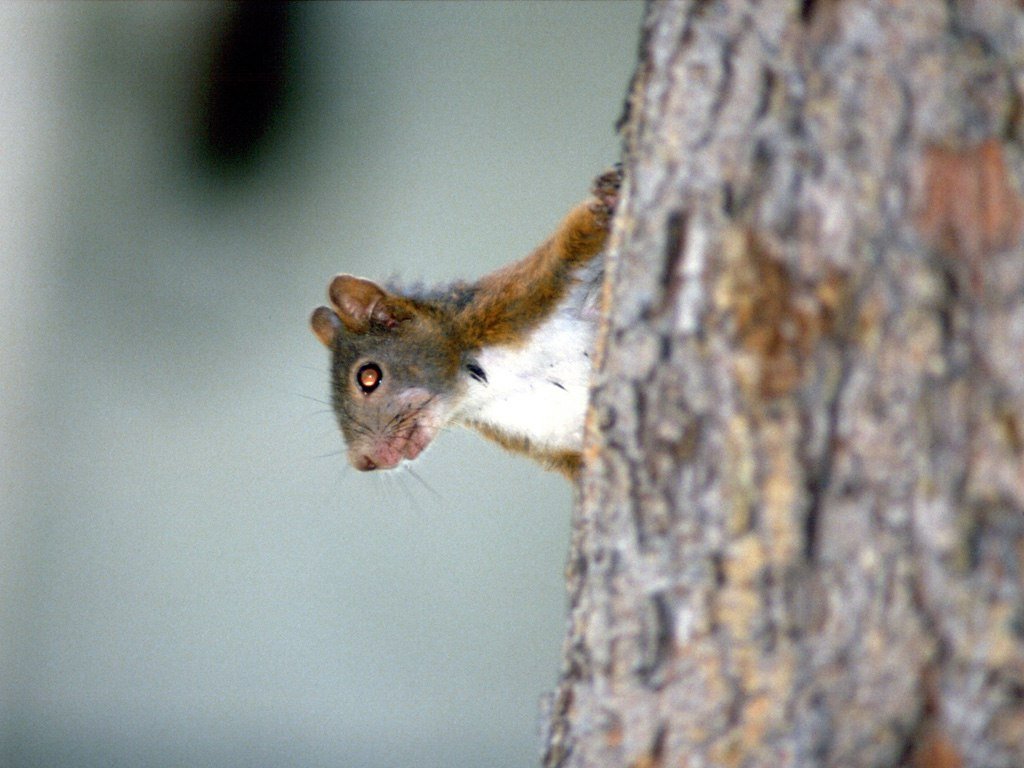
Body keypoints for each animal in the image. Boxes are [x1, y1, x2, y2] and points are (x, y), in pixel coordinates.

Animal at [307, 165, 618, 481]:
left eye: (368, 377)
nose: (363, 461)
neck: (486, 386)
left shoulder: (523, 296)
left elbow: (580, 238)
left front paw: (608, 198)